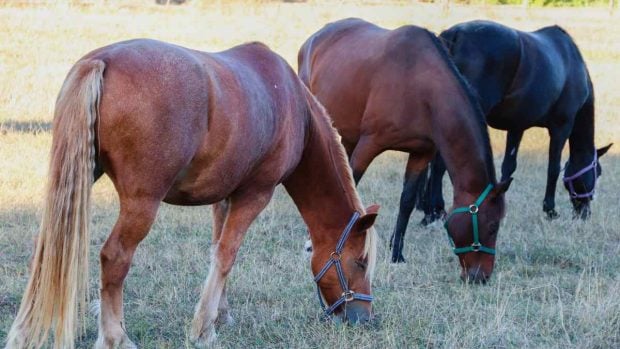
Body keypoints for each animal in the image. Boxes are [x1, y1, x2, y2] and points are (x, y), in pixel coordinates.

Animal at [6, 38, 378, 348]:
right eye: (360, 262)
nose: (364, 320)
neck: (292, 104)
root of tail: (102, 60)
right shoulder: (255, 195)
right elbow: (227, 255)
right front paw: (203, 328)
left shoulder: (227, 197)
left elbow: (218, 251)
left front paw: (220, 315)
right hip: (142, 205)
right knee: (114, 257)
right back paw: (115, 337)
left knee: (47, 248)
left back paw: (24, 331)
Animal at [298, 18, 512, 280]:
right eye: (492, 226)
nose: (480, 276)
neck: (420, 86)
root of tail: (314, 38)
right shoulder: (369, 144)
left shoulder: (422, 153)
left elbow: (407, 201)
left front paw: (397, 253)